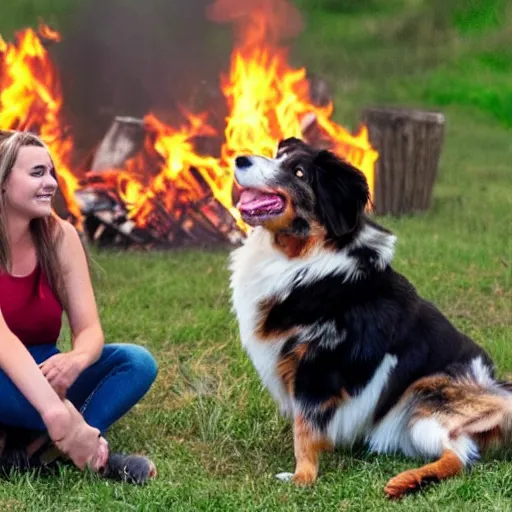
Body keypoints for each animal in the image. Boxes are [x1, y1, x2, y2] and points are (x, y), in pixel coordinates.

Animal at [229, 138, 512, 498]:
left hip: (423, 402)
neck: (305, 256)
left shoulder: (319, 367)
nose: (240, 159)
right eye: (278, 155)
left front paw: (301, 478)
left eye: (299, 172)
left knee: (459, 457)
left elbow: (305, 428)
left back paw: (404, 482)